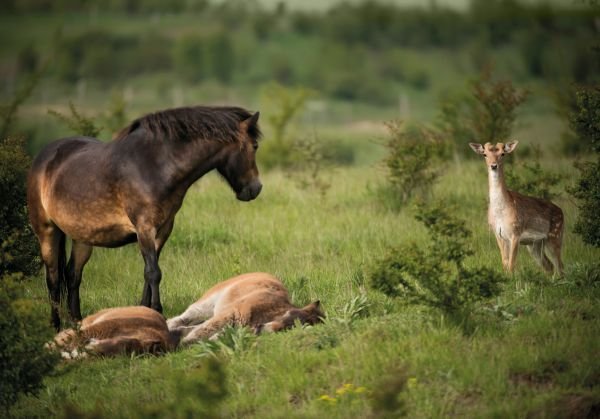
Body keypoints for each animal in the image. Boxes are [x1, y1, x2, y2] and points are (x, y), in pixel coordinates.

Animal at [28, 106, 262, 330]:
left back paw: (77, 323)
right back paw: (56, 325)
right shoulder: (144, 229)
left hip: (82, 237)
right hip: (47, 231)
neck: (154, 167)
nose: (255, 188)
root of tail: (44, 157)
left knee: (73, 275)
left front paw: (143, 311)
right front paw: (157, 312)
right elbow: (153, 272)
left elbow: (148, 273)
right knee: (53, 278)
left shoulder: (163, 230)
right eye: (254, 146)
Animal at [468, 143, 564, 278]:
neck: (501, 213)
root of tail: (561, 212)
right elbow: (505, 263)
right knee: (549, 265)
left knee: (560, 266)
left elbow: (511, 264)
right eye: (485, 154)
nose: (493, 165)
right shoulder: (497, 233)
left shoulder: (515, 232)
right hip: (535, 244)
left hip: (555, 235)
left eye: (503, 154)